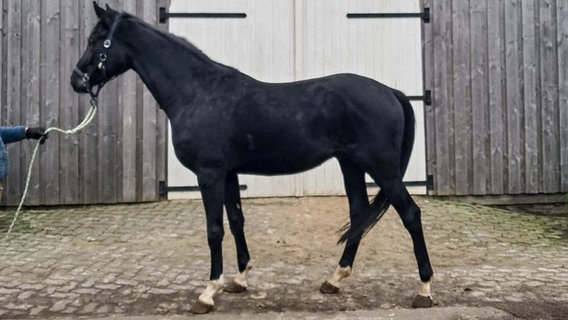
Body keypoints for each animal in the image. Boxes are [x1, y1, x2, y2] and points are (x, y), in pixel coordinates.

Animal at [71, 1, 434, 312]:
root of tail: (392, 92)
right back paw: (334, 279)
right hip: (351, 165)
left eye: (96, 40)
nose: (77, 80)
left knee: (411, 214)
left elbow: (214, 229)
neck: (198, 92)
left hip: (382, 168)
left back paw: (424, 290)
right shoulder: (228, 173)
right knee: (359, 212)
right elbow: (236, 221)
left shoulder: (209, 174)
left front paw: (208, 292)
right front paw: (240, 279)